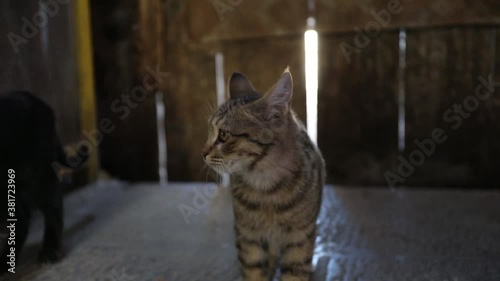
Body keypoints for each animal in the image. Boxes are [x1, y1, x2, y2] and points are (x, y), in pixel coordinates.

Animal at [202, 68, 324, 280]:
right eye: (210, 131)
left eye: (224, 135)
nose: (203, 153)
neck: (266, 186)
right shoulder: (248, 235)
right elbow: (254, 271)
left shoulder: (300, 237)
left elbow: (294, 273)